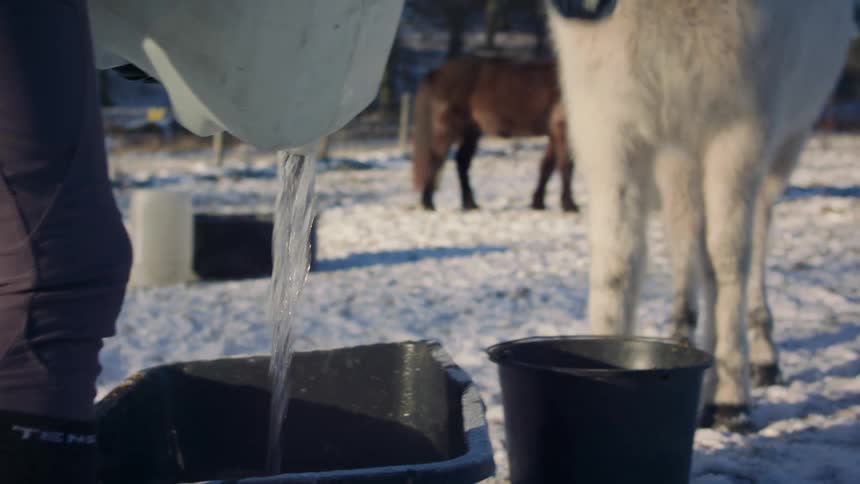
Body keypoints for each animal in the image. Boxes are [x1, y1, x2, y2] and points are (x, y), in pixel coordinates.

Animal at [411, 55, 577, 212]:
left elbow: (547, 167)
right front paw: (570, 205)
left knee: (462, 162)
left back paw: (470, 204)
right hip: (449, 128)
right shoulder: (562, 131)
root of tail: (437, 73)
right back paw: (428, 204)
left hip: (471, 131)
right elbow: (566, 166)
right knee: (436, 159)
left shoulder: (554, 134)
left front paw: (538, 203)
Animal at [548, 0, 855, 431]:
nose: (579, 7)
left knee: (755, 234)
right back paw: (682, 331)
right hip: (679, 156)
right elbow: (617, 263)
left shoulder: (739, 134)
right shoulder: (611, 131)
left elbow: (725, 259)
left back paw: (763, 355)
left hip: (781, 148)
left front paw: (728, 398)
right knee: (685, 229)